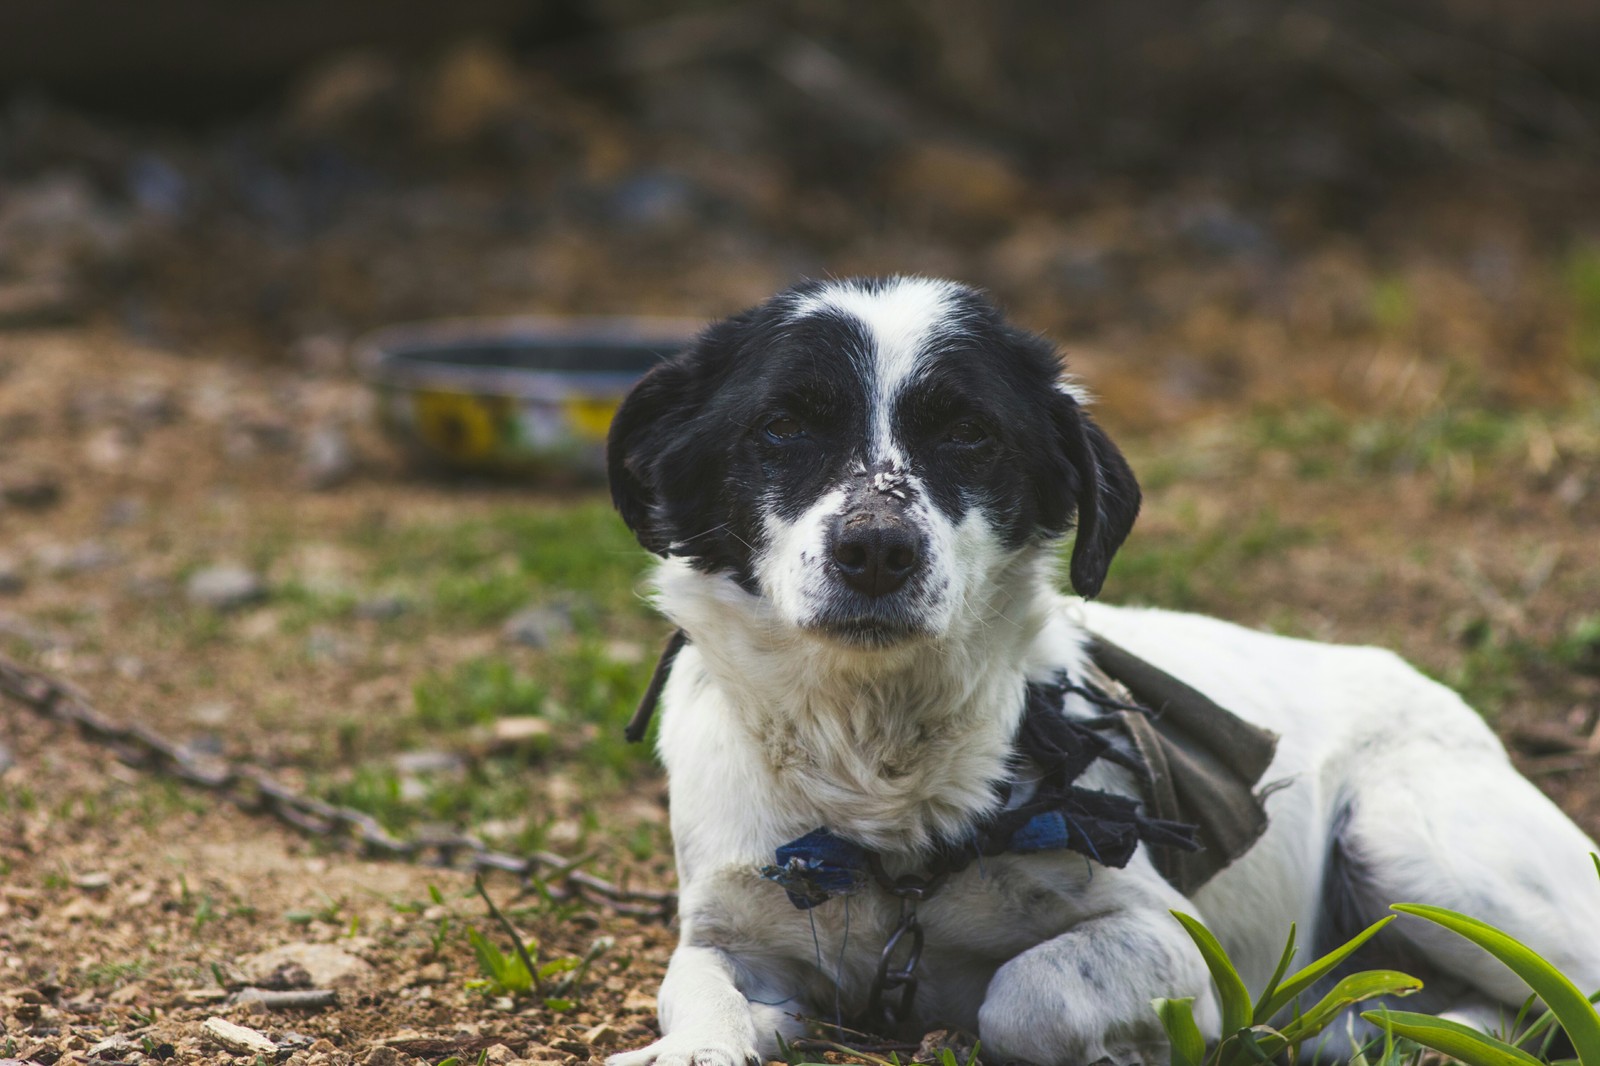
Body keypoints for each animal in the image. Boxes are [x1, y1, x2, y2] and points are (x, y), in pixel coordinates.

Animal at [601, 275, 1600, 1062]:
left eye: (970, 434)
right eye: (780, 426)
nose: (876, 551)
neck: (875, 766)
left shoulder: (1173, 943)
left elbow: (1025, 995)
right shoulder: (729, 930)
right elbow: (699, 992)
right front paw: (704, 1043)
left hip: (1415, 849)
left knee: (1554, 1001)